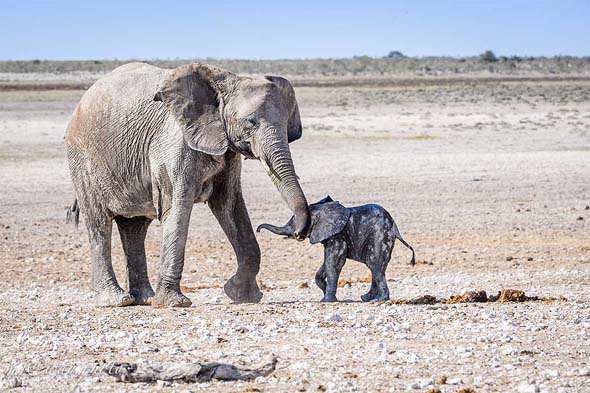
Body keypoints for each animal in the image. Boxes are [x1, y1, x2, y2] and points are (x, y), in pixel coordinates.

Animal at [66, 62, 310, 306]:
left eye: (286, 126)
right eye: (250, 123)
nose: (299, 234)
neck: (223, 83)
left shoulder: (227, 150)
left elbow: (229, 205)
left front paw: (242, 296)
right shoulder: (173, 144)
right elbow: (177, 208)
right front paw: (175, 303)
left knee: (135, 228)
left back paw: (145, 298)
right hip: (83, 160)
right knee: (99, 224)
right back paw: (117, 300)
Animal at [258, 196, 416, 304]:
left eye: (294, 223)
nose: (258, 230)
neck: (322, 209)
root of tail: (395, 227)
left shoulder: (337, 235)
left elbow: (333, 263)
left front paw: (326, 300)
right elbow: (326, 263)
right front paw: (325, 291)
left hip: (380, 235)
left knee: (375, 265)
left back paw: (378, 300)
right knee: (375, 267)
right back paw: (366, 298)